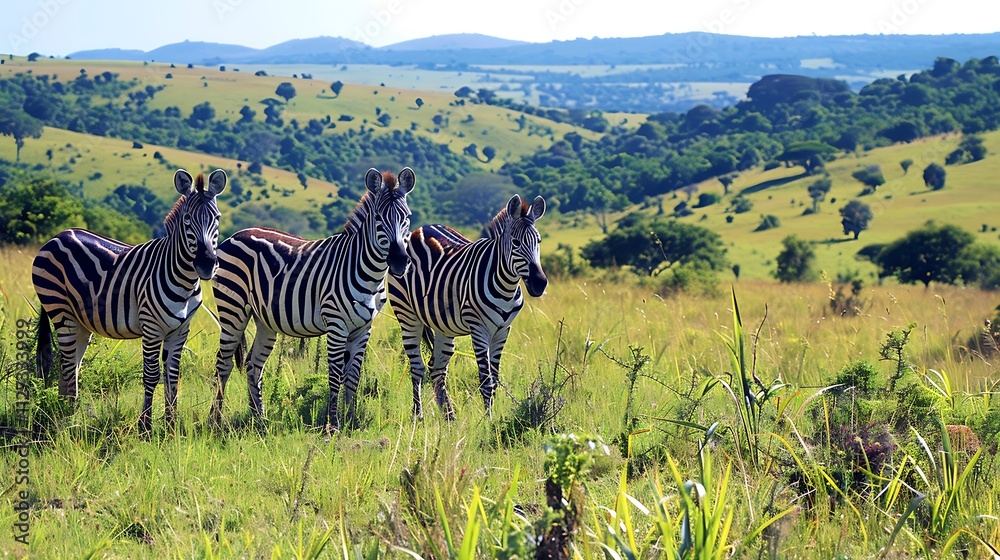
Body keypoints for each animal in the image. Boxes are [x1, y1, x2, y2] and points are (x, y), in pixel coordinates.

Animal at [32, 169, 227, 433]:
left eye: (216, 218)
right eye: (187, 219)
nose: (206, 265)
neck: (184, 279)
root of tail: (57, 236)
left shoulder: (180, 330)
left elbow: (172, 376)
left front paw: (171, 425)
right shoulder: (151, 327)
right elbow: (152, 375)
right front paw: (145, 427)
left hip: (79, 320)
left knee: (71, 366)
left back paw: (67, 416)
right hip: (60, 309)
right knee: (67, 365)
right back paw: (66, 422)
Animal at [210, 167, 415, 431]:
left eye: (407, 217)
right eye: (379, 218)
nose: (399, 262)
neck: (368, 271)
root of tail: (235, 235)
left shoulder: (364, 327)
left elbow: (353, 376)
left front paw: (350, 420)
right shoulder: (337, 324)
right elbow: (335, 374)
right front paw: (334, 424)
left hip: (264, 320)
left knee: (254, 365)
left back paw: (260, 419)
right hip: (232, 308)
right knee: (223, 365)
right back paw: (215, 420)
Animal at [387, 194, 547, 421]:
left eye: (539, 242)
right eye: (516, 243)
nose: (539, 283)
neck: (506, 286)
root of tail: (418, 230)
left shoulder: (503, 331)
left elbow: (494, 380)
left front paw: (491, 417)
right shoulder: (479, 329)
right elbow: (486, 381)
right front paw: (488, 421)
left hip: (443, 325)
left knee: (436, 369)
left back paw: (449, 417)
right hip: (407, 314)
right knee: (417, 367)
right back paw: (418, 415)